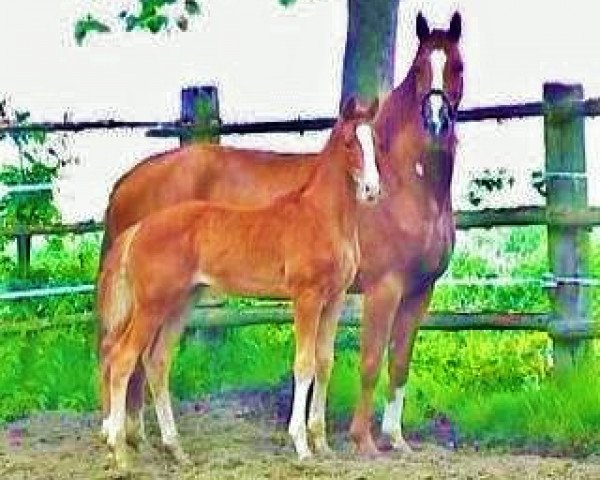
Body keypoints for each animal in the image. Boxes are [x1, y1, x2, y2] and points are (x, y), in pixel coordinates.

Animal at [98, 98, 380, 468]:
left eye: (375, 140)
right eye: (349, 142)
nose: (372, 190)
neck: (321, 216)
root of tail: (139, 228)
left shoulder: (334, 298)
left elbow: (324, 362)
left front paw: (322, 443)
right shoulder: (306, 297)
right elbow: (303, 365)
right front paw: (302, 446)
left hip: (181, 303)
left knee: (155, 361)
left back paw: (176, 450)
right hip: (151, 305)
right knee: (122, 359)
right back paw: (120, 451)